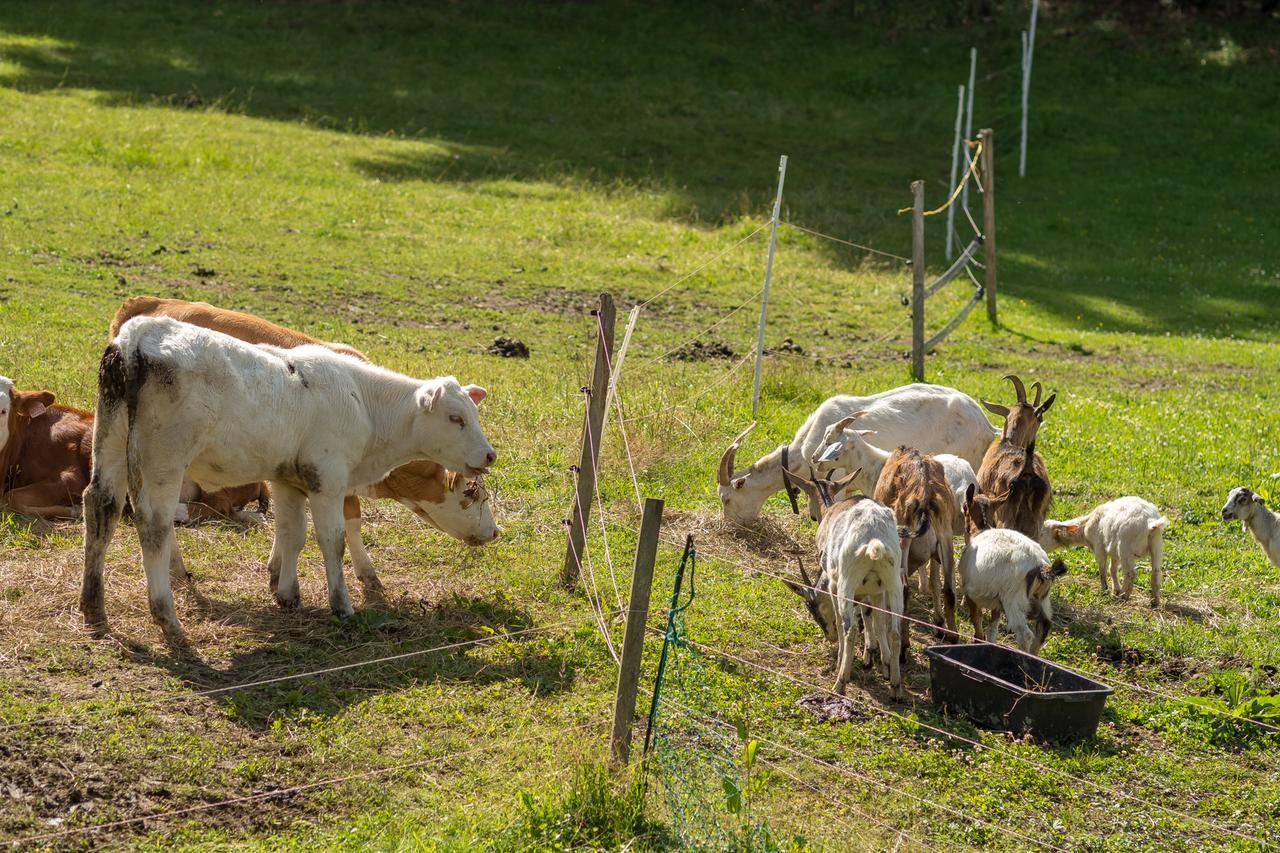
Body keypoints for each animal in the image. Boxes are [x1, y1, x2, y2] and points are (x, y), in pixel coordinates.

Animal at [81, 315, 494, 635]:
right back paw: (166, 615)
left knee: (102, 506)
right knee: (154, 524)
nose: (489, 455)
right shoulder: (328, 482)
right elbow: (332, 540)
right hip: (164, 460)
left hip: (111, 441)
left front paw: (287, 594)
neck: (363, 402)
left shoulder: (286, 481)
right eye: (455, 418)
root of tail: (138, 335)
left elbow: (292, 534)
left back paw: (93, 607)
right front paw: (341, 605)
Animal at [962, 484, 1070, 650]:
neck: (981, 530)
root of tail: (1040, 566)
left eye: (964, 507)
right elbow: (992, 630)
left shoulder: (970, 593)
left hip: (1013, 599)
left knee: (1024, 634)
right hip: (1042, 599)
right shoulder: (997, 603)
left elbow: (978, 625)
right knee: (1044, 626)